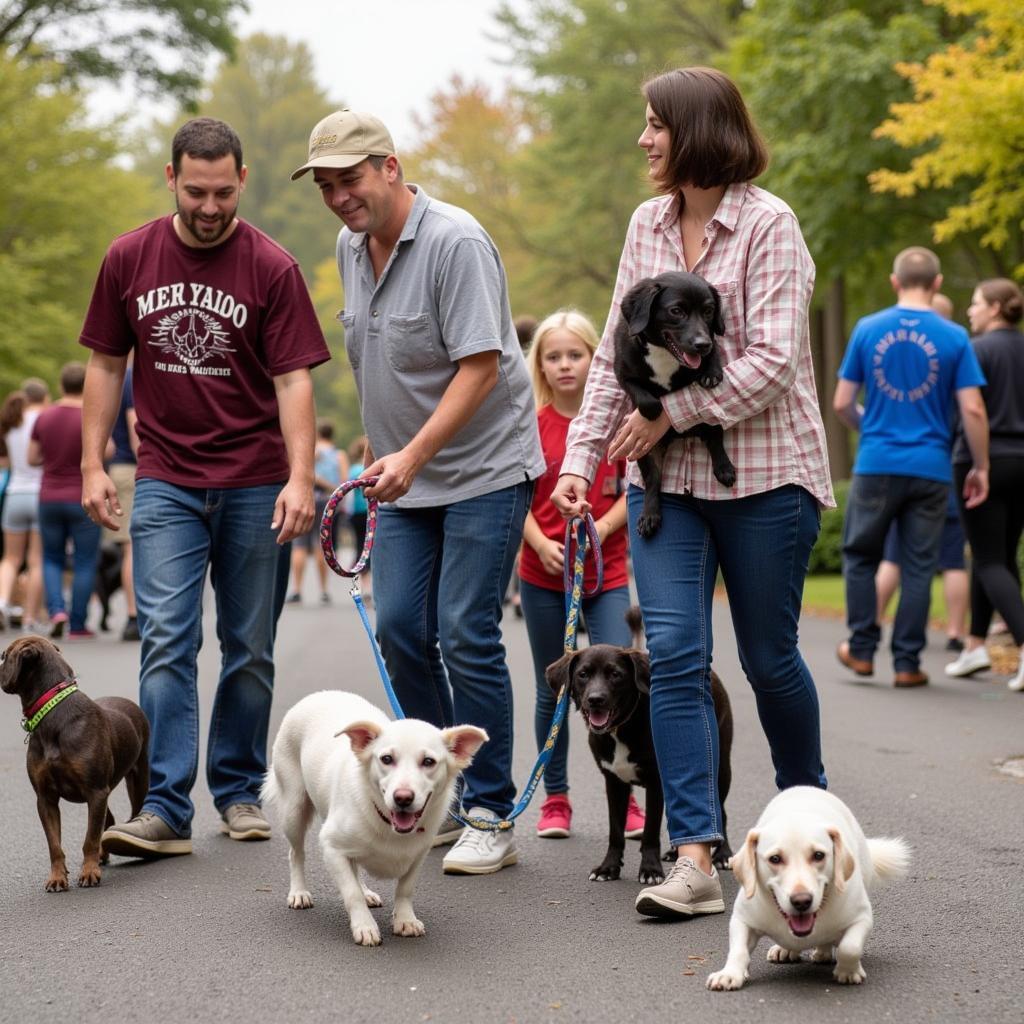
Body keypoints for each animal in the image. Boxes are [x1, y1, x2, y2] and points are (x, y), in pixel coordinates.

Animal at [1, 638, 149, 888]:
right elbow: (54, 844)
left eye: (3, 656)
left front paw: (89, 871)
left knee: (130, 811)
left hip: (136, 778)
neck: (51, 708)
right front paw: (57, 877)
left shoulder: (95, 791)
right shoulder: (46, 798)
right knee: (107, 820)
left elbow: (90, 838)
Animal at [264, 692, 487, 946]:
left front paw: (405, 919)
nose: (403, 798)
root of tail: (319, 693)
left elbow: (405, 889)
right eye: (387, 759)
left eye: (428, 762)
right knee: (296, 854)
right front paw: (364, 925)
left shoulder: (419, 854)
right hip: (294, 810)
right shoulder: (331, 847)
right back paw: (299, 892)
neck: (387, 822)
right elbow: (351, 893)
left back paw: (366, 891)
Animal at [704, 786, 913, 987]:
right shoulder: (743, 920)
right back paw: (786, 950)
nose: (801, 901)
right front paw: (730, 974)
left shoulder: (862, 918)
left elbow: (850, 948)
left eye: (819, 855)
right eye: (775, 858)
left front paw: (847, 971)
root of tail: (805, 787)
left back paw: (823, 952)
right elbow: (738, 950)